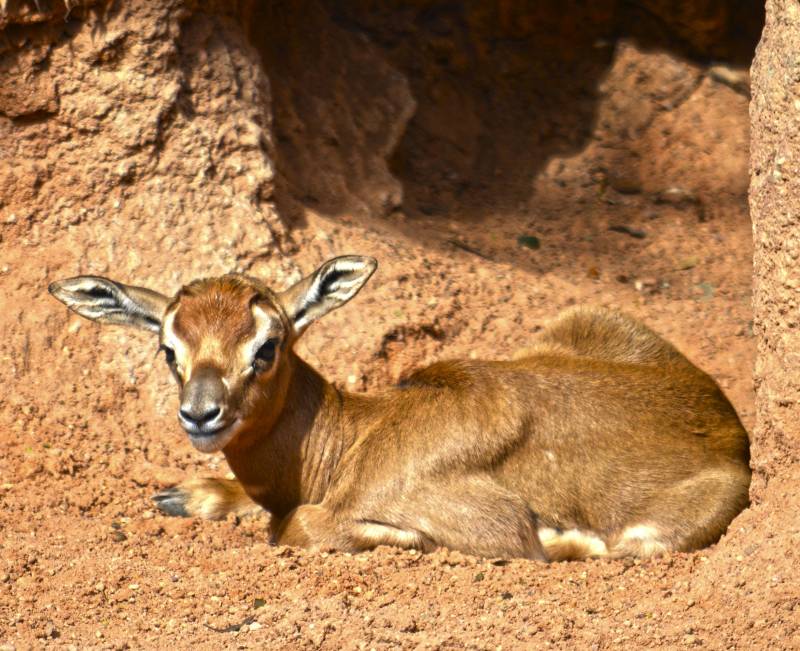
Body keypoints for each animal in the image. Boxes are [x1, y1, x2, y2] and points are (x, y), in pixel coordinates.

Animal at [48, 255, 752, 560]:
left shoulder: (487, 525)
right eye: (168, 347)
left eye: (267, 345)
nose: (201, 414)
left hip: (651, 534)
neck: (354, 436)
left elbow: (296, 526)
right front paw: (186, 495)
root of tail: (729, 432)